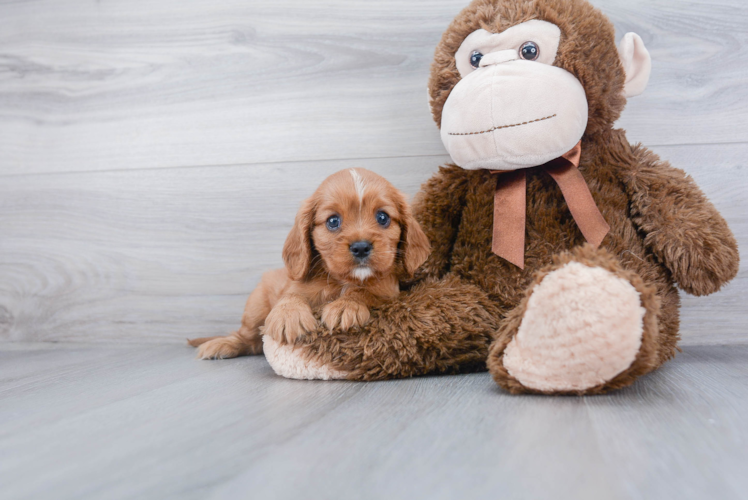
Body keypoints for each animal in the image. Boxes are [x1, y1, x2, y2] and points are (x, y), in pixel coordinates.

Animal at [188, 168, 432, 360]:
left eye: (383, 217)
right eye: (333, 221)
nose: (361, 247)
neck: (342, 280)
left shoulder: (388, 293)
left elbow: (364, 293)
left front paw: (346, 305)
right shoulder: (296, 286)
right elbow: (291, 295)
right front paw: (288, 315)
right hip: (255, 307)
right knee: (248, 338)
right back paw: (222, 344)